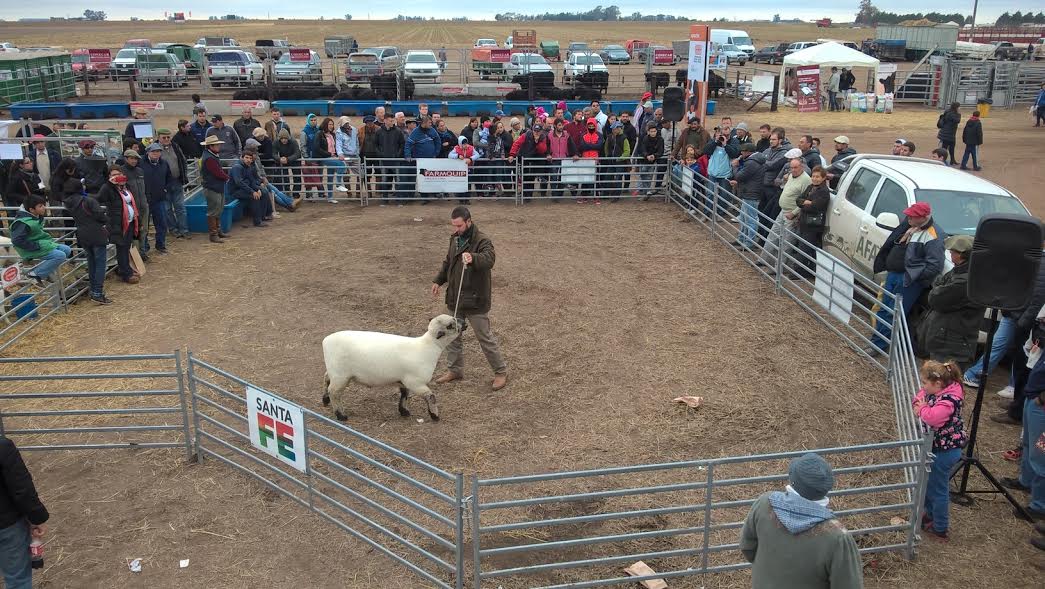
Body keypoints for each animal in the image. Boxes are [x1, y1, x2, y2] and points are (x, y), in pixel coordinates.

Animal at [317, 315, 466, 421]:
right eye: (451, 325)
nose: (464, 322)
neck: (428, 346)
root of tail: (326, 340)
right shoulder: (416, 382)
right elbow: (431, 396)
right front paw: (434, 415)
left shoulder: (404, 380)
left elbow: (405, 395)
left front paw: (404, 411)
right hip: (341, 375)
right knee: (334, 392)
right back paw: (341, 415)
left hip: (334, 370)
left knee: (326, 378)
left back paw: (325, 400)